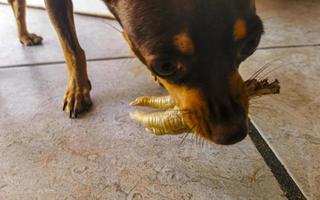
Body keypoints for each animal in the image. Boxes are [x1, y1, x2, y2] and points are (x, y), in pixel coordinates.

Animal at [10, 0, 264, 144]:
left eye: (251, 44)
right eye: (165, 66)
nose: (234, 133)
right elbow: (71, 48)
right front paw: (77, 89)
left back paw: (25, 35)